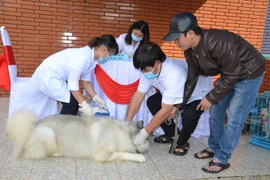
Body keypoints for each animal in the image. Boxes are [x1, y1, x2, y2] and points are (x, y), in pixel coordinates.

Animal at [5, 109, 150, 163]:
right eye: (146, 140)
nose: (149, 142)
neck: (124, 132)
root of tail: (31, 128)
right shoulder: (103, 155)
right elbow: (124, 153)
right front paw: (138, 157)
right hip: (48, 133)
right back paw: (58, 153)